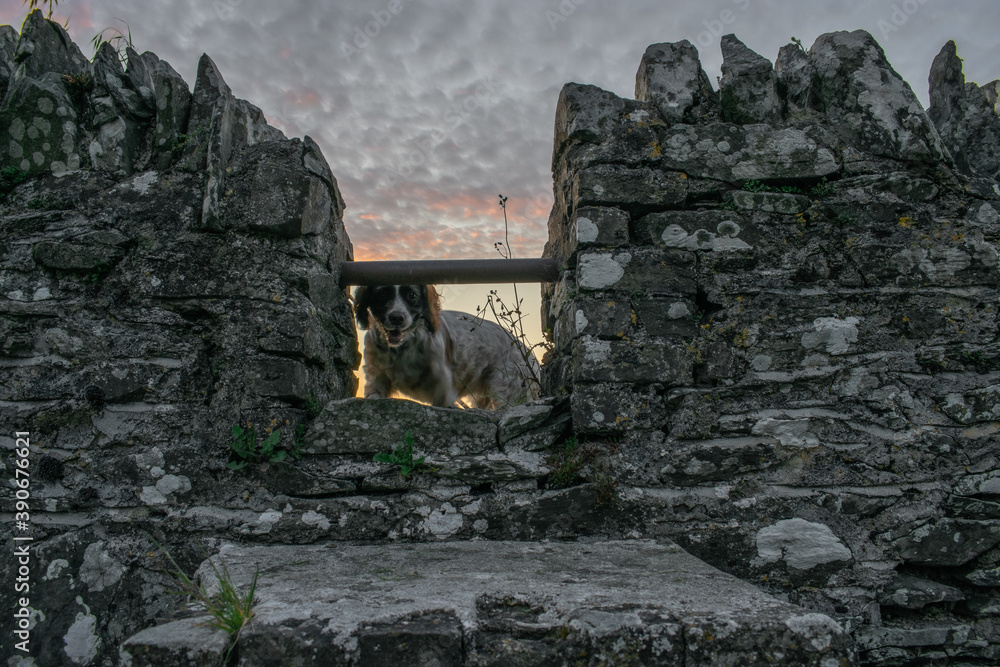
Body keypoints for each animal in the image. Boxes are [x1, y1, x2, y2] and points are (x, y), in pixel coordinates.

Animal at [352, 284, 540, 410]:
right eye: (382, 293)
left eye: (412, 295)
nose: (397, 317)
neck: (400, 349)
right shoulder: (377, 375)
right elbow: (374, 392)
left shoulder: (442, 385)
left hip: (506, 388)